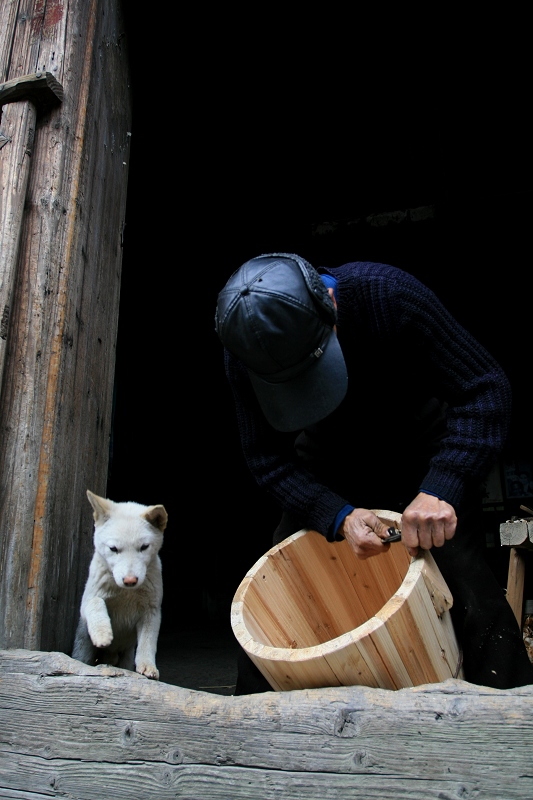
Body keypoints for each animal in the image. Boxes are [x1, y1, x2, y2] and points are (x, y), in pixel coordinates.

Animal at [70, 490, 166, 680]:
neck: (126, 592)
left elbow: (148, 643)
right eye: (113, 549)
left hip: (126, 656)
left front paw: (148, 666)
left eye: (144, 547)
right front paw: (102, 634)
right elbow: (96, 602)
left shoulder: (151, 611)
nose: (130, 580)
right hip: (83, 646)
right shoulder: (87, 600)